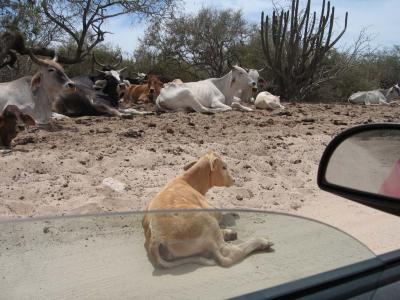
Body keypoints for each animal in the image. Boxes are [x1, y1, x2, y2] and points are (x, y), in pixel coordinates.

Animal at [142, 151, 274, 268]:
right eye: (224, 167)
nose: (234, 180)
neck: (187, 181)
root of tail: (155, 238)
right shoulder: (211, 209)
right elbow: (220, 213)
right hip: (207, 221)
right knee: (228, 254)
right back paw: (262, 242)